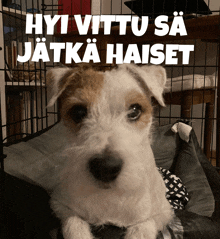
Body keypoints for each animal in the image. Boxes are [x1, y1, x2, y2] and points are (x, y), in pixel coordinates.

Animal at [46, 64, 174, 239]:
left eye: (135, 110)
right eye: (78, 112)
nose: (105, 167)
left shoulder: (163, 211)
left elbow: (143, 226)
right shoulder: (59, 203)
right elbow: (74, 223)